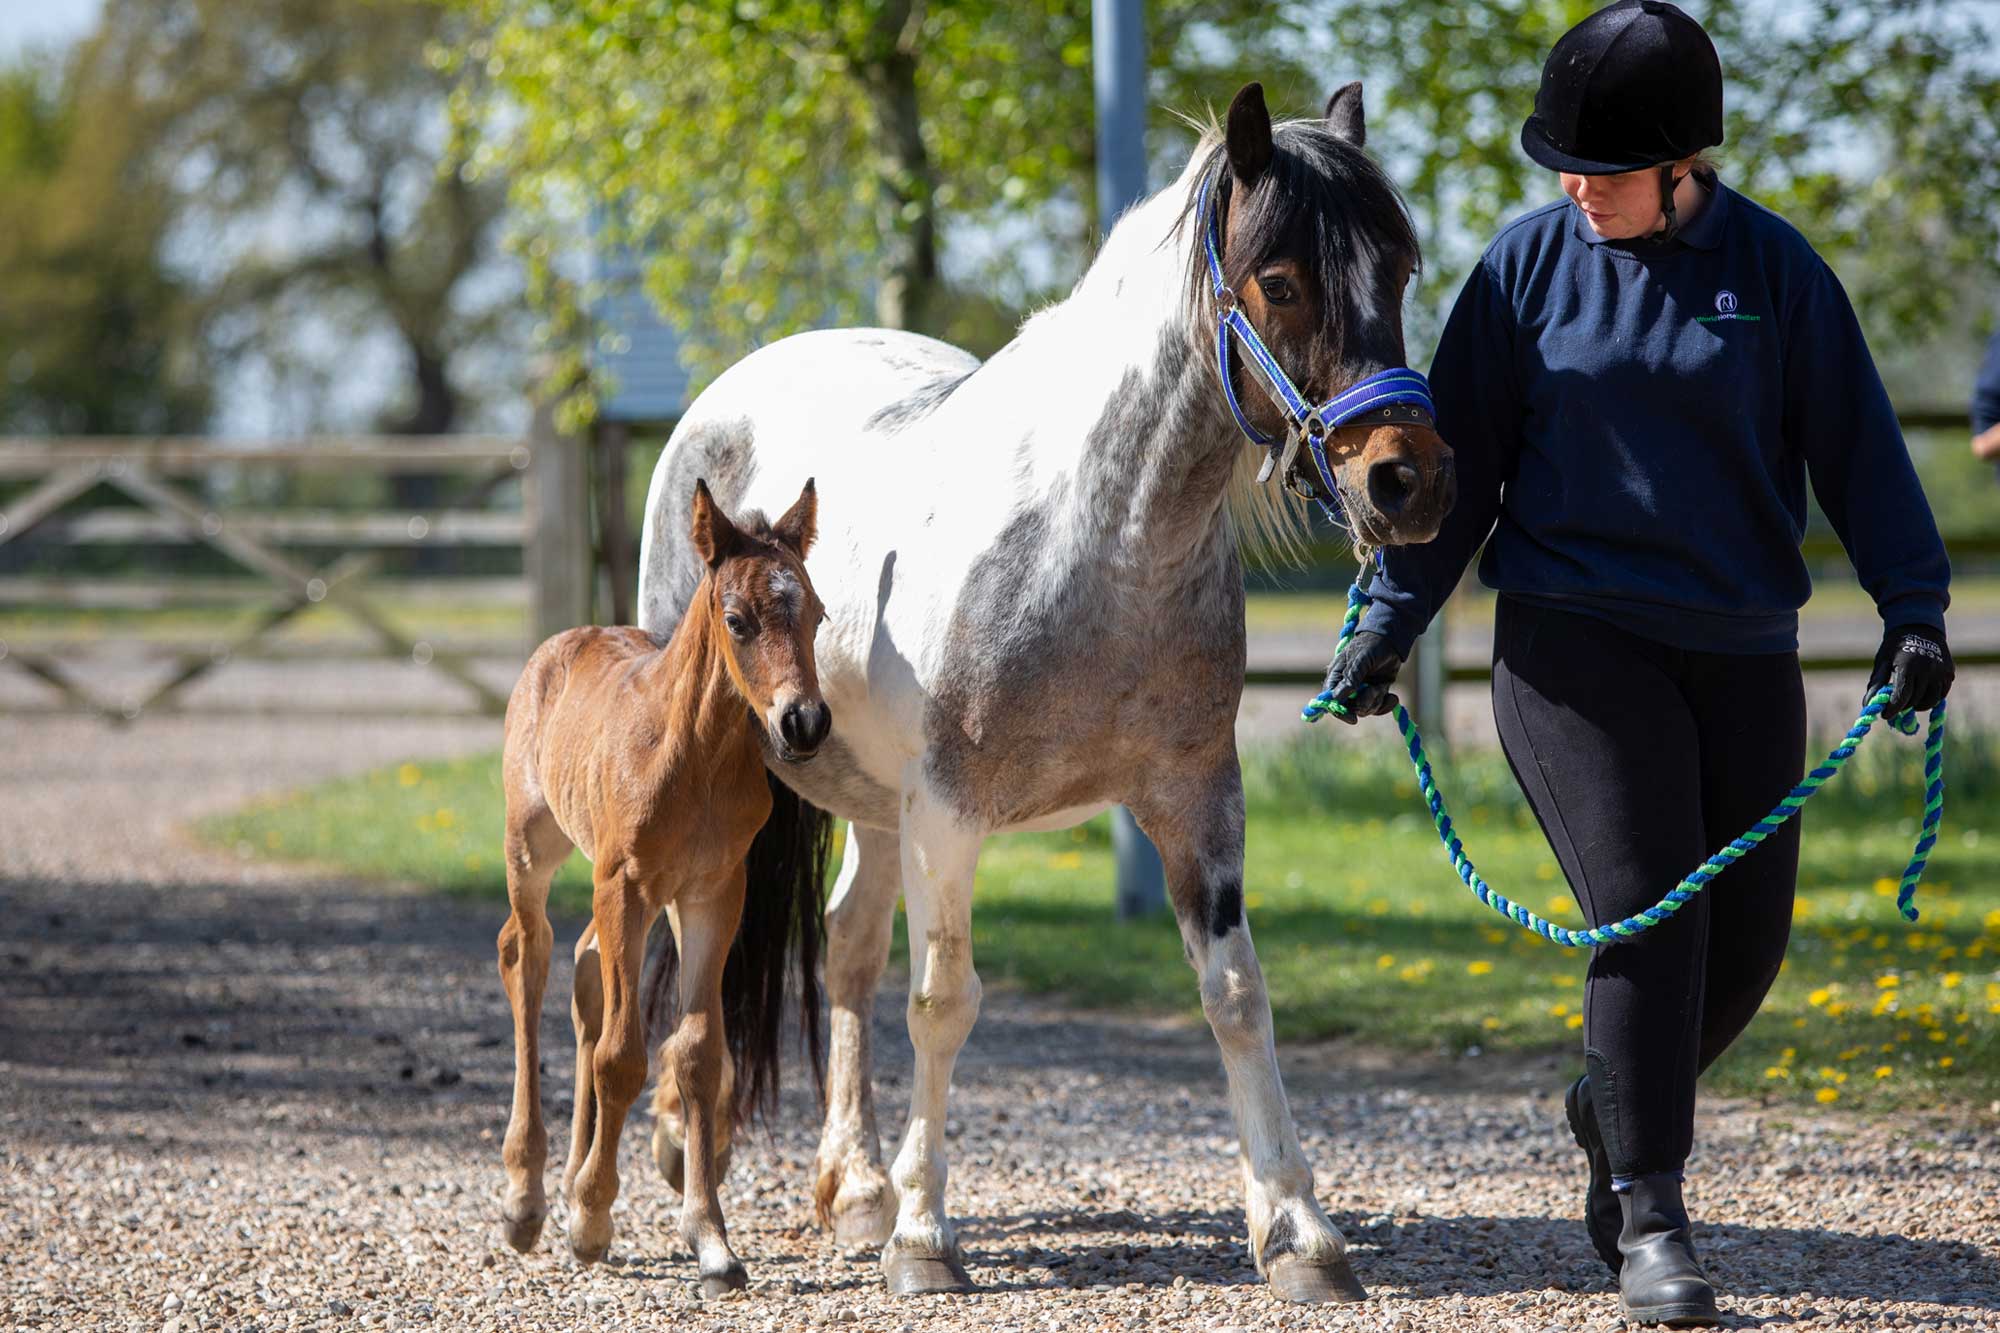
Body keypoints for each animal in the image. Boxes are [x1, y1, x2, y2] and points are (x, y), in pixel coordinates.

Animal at [496, 474, 832, 1288]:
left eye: (816, 614)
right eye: (738, 620)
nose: (804, 723)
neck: (697, 755)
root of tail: (564, 641)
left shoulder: (712, 892)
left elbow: (701, 1054)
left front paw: (711, 1240)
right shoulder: (628, 885)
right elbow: (623, 1055)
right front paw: (589, 1218)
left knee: (586, 968)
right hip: (534, 846)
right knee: (527, 955)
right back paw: (526, 1196)